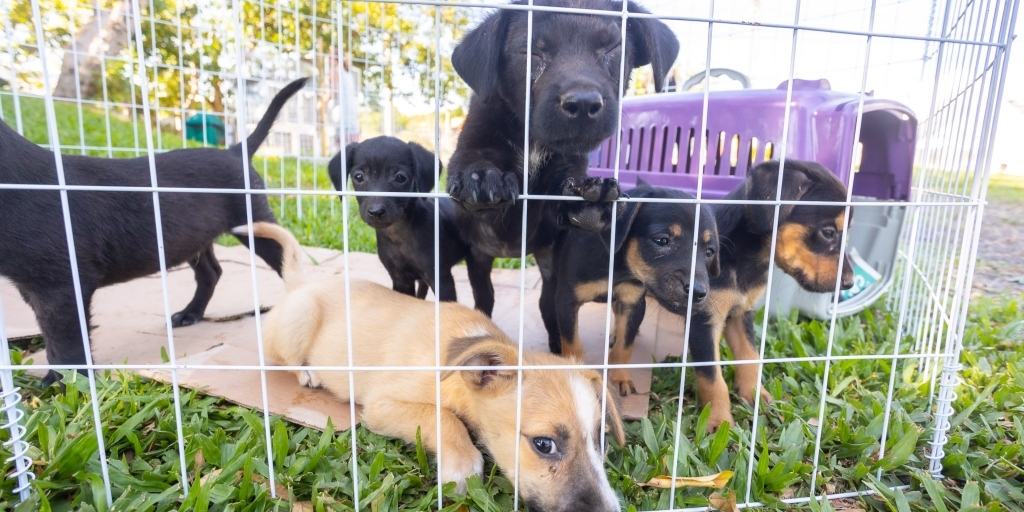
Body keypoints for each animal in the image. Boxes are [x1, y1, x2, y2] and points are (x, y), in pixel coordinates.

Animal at [0, 77, 307, 385]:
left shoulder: (61, 286)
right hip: (194, 238)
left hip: (253, 224)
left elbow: (65, 340)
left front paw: (67, 383)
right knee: (211, 272)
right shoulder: (35, 286)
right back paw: (190, 313)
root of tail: (234, 151)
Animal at [234, 221, 626, 512]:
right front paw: (462, 468)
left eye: (602, 440)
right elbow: (445, 418)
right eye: (544, 445)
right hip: (298, 320)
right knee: (281, 359)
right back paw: (307, 372)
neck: (456, 359)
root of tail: (304, 283)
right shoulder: (382, 404)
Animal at [327, 136, 495, 315]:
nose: (376, 211)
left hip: (478, 260)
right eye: (358, 177)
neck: (399, 233)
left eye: (400, 178)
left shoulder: (440, 278)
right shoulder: (400, 279)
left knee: (485, 294)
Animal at [544, 180, 720, 395]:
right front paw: (574, 370)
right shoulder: (567, 300)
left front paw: (620, 378)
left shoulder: (633, 302)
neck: (618, 266)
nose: (698, 292)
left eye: (709, 251)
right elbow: (573, 343)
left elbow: (624, 346)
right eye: (662, 240)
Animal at [688, 159, 856, 428]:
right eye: (828, 232)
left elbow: (749, 357)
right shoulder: (703, 321)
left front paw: (755, 396)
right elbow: (712, 378)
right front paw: (718, 422)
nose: (850, 283)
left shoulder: (740, 313)